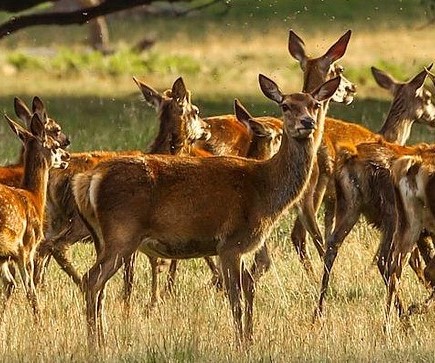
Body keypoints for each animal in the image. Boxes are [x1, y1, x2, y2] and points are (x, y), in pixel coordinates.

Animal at [0, 111, 70, 318]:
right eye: (54, 146)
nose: (67, 156)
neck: (34, 197)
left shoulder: (6, 256)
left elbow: (10, 283)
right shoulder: (26, 247)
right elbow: (30, 291)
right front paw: (39, 321)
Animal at [70, 75, 340, 348]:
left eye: (315, 104)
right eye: (285, 105)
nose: (307, 122)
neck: (264, 191)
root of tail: (89, 180)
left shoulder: (238, 247)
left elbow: (249, 288)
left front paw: (250, 339)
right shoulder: (231, 242)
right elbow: (236, 299)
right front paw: (240, 344)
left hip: (102, 239)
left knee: (100, 288)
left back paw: (102, 340)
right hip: (122, 233)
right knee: (91, 280)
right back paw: (94, 344)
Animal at [316, 66, 435, 322]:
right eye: (428, 97)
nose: (433, 119)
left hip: (350, 207)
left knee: (331, 248)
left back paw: (318, 313)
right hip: (391, 214)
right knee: (385, 259)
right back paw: (402, 314)